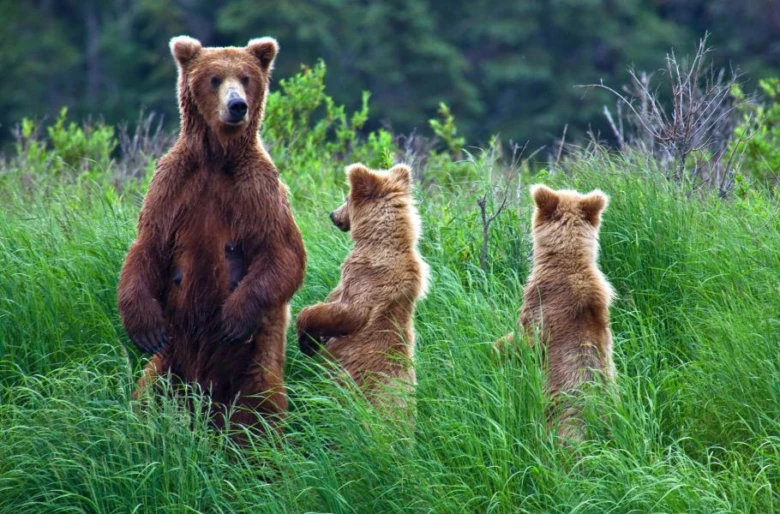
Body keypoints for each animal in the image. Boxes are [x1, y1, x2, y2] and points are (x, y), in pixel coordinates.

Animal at [117, 35, 306, 435]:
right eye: (215, 78)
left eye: (246, 78)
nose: (237, 106)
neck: (218, 158)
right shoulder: (173, 185)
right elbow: (147, 247)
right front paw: (144, 327)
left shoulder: (257, 191)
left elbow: (282, 253)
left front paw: (234, 317)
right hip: (169, 362)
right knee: (148, 394)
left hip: (252, 367)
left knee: (259, 409)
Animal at [296, 163, 429, 410]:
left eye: (346, 198)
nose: (332, 215)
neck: (377, 242)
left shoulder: (367, 279)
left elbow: (346, 312)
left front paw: (307, 340)